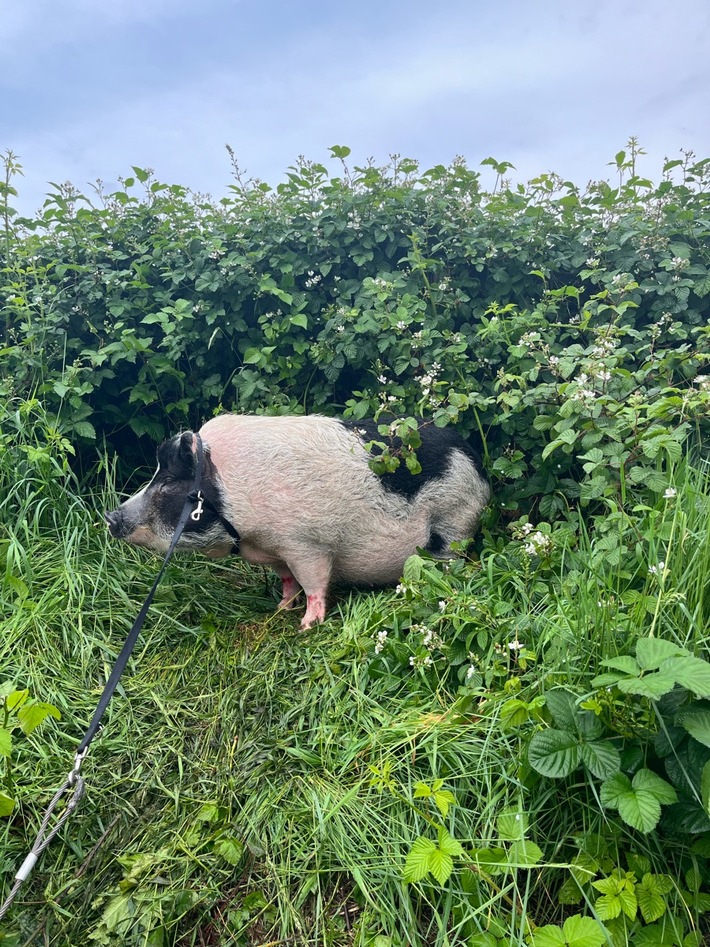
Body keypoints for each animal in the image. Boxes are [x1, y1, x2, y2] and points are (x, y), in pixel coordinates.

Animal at [105, 414, 492, 628]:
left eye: (170, 481)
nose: (110, 516)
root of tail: (475, 459)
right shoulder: (276, 551)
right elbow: (288, 580)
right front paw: (279, 609)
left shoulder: (306, 543)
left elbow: (314, 582)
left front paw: (306, 626)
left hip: (454, 518)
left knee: (449, 557)